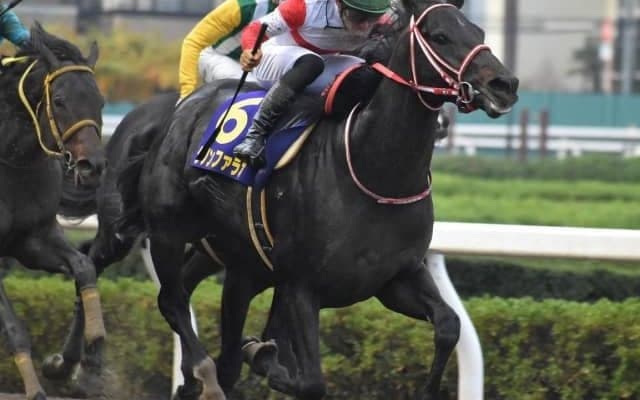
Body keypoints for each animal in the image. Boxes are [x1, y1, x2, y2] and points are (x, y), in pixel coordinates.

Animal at [0, 23, 107, 400]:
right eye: (59, 101)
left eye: (100, 101)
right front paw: (35, 389)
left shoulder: (32, 240)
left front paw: (73, 362)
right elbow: (15, 329)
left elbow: (85, 267)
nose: (93, 166)